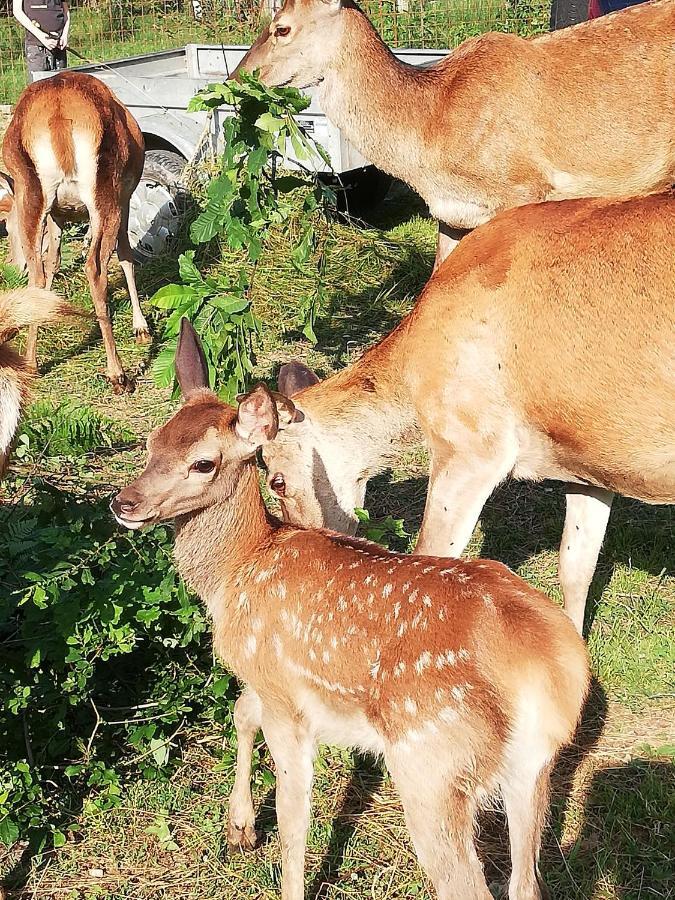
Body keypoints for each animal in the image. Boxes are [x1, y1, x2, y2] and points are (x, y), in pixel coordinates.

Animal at [0, 72, 151, 392]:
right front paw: (142, 328)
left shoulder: (57, 216)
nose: (10, 264)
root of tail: (58, 114)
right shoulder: (125, 197)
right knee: (95, 267)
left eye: (6, 225)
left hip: (33, 198)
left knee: (37, 274)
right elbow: (126, 255)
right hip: (105, 197)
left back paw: (31, 363)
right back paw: (118, 374)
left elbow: (53, 262)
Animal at [113, 318, 588, 900]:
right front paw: (239, 828)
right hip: (531, 769)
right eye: (152, 442)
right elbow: (241, 712)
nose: (124, 502)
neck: (239, 568)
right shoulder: (265, 681)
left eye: (203, 462)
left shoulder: (286, 696)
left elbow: (294, 820)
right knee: (527, 883)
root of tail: (553, 670)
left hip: (434, 762)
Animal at [252, 194, 675, 636]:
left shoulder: (471, 445)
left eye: (277, 482)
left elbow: (432, 555)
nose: (302, 550)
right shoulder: (587, 457)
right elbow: (576, 565)